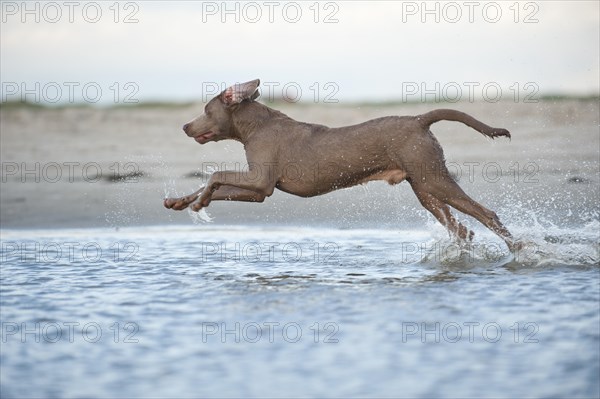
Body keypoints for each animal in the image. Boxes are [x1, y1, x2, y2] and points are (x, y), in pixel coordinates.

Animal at [165, 79, 520, 250]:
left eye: (206, 110)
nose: (183, 126)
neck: (254, 126)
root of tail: (419, 119)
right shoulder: (259, 191)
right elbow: (213, 183)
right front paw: (180, 201)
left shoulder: (260, 179)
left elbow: (215, 175)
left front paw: (199, 203)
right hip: (423, 186)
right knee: (461, 229)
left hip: (434, 179)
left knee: (485, 214)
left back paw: (519, 248)